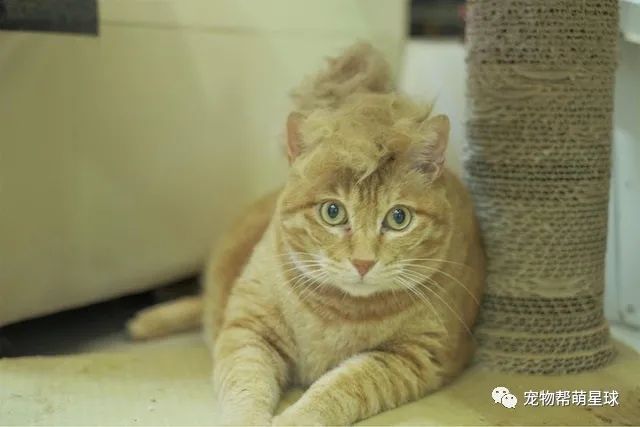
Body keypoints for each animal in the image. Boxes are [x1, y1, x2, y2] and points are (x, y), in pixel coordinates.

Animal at [127, 42, 482, 424]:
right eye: (332, 212)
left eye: (398, 218)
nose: (363, 262)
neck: (340, 312)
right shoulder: (248, 331)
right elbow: (246, 387)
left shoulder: (414, 356)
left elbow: (340, 386)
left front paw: (296, 417)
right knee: (205, 304)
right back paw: (145, 322)